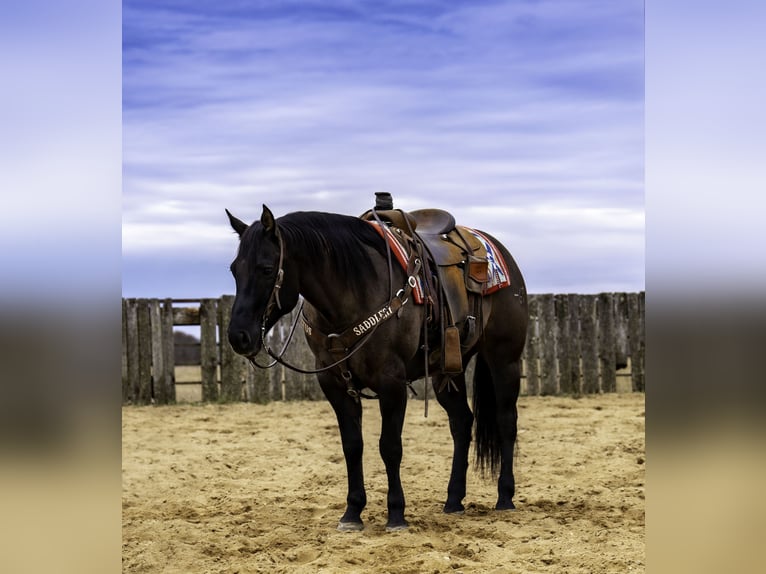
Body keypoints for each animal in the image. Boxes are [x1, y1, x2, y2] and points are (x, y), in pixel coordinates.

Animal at [225, 205, 532, 532]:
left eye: (266, 268)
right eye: (234, 269)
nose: (238, 336)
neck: (353, 289)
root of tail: (497, 251)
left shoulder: (391, 382)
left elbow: (390, 446)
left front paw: (396, 514)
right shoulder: (333, 383)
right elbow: (352, 445)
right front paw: (352, 512)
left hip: (504, 360)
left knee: (506, 421)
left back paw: (505, 497)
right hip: (448, 370)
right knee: (462, 422)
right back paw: (453, 500)